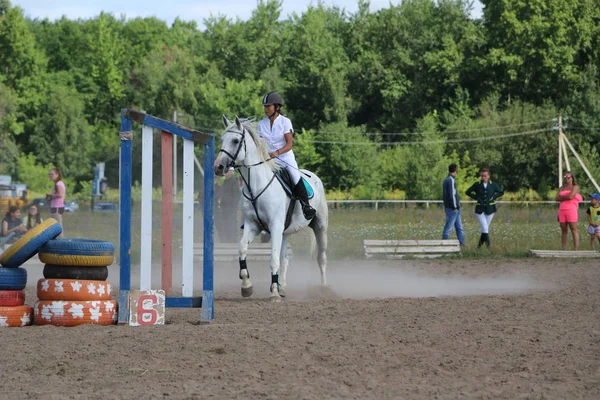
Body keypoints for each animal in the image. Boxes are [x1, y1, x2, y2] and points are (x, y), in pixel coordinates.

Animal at [213, 115, 328, 300]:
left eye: (235, 140)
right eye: (222, 139)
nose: (218, 167)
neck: (256, 186)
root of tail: (314, 177)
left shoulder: (274, 226)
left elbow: (273, 259)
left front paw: (273, 292)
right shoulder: (253, 225)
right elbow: (242, 249)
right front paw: (247, 286)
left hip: (320, 226)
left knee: (321, 258)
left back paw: (323, 289)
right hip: (285, 232)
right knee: (284, 259)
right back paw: (283, 288)